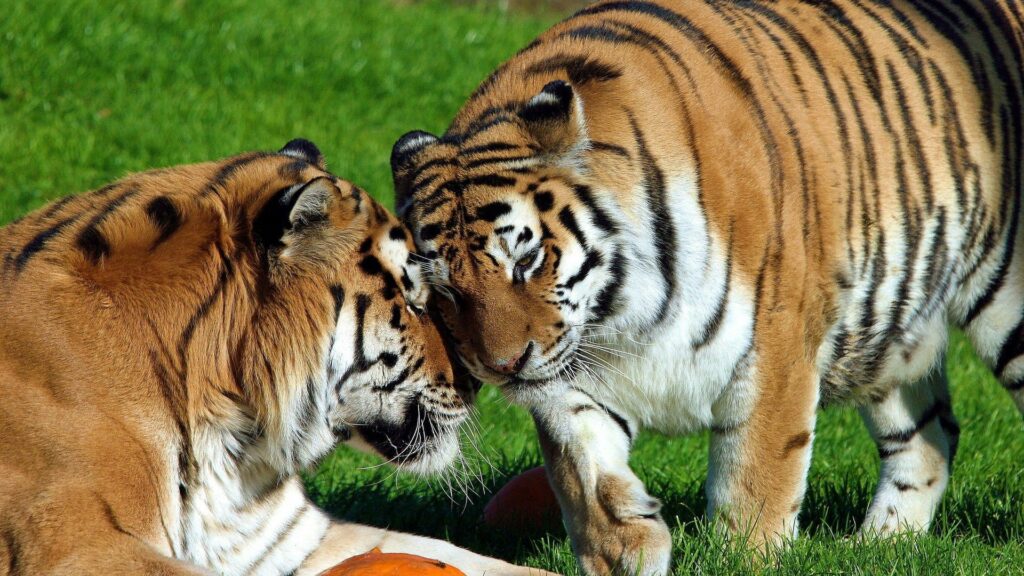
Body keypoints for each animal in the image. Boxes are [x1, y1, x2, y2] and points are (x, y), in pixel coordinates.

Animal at [389, 1, 1024, 573]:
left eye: (525, 259)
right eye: (443, 290)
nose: (501, 367)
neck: (619, 314)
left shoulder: (774, 346)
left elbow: (755, 477)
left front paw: (745, 557)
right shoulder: (567, 377)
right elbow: (583, 471)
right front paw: (624, 546)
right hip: (890, 334)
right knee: (929, 439)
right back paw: (879, 548)